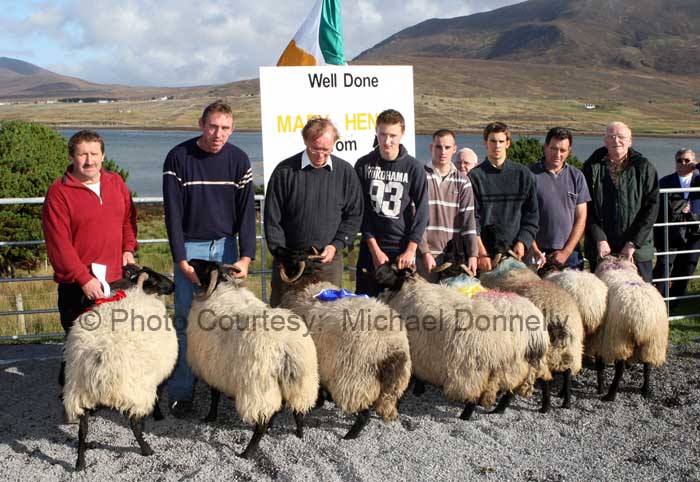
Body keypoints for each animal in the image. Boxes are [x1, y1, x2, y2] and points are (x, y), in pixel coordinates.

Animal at [185, 258, 318, 458]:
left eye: (205, 267)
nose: (191, 261)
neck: (222, 287)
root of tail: (285, 348)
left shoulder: (212, 368)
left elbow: (214, 395)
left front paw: (210, 417)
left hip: (258, 386)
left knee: (262, 422)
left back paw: (247, 452)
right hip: (300, 383)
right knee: (297, 412)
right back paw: (299, 435)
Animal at [276, 249, 412, 440]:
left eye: (291, 257)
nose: (277, 250)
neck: (306, 281)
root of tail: (392, 349)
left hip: (356, 381)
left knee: (363, 415)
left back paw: (349, 436)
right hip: (393, 384)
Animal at [592, 254, 668, 402]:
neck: (617, 266)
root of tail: (642, 318)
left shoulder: (601, 335)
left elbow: (600, 364)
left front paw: (600, 386)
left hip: (619, 337)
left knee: (619, 370)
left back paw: (610, 395)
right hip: (652, 342)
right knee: (647, 366)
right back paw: (646, 390)